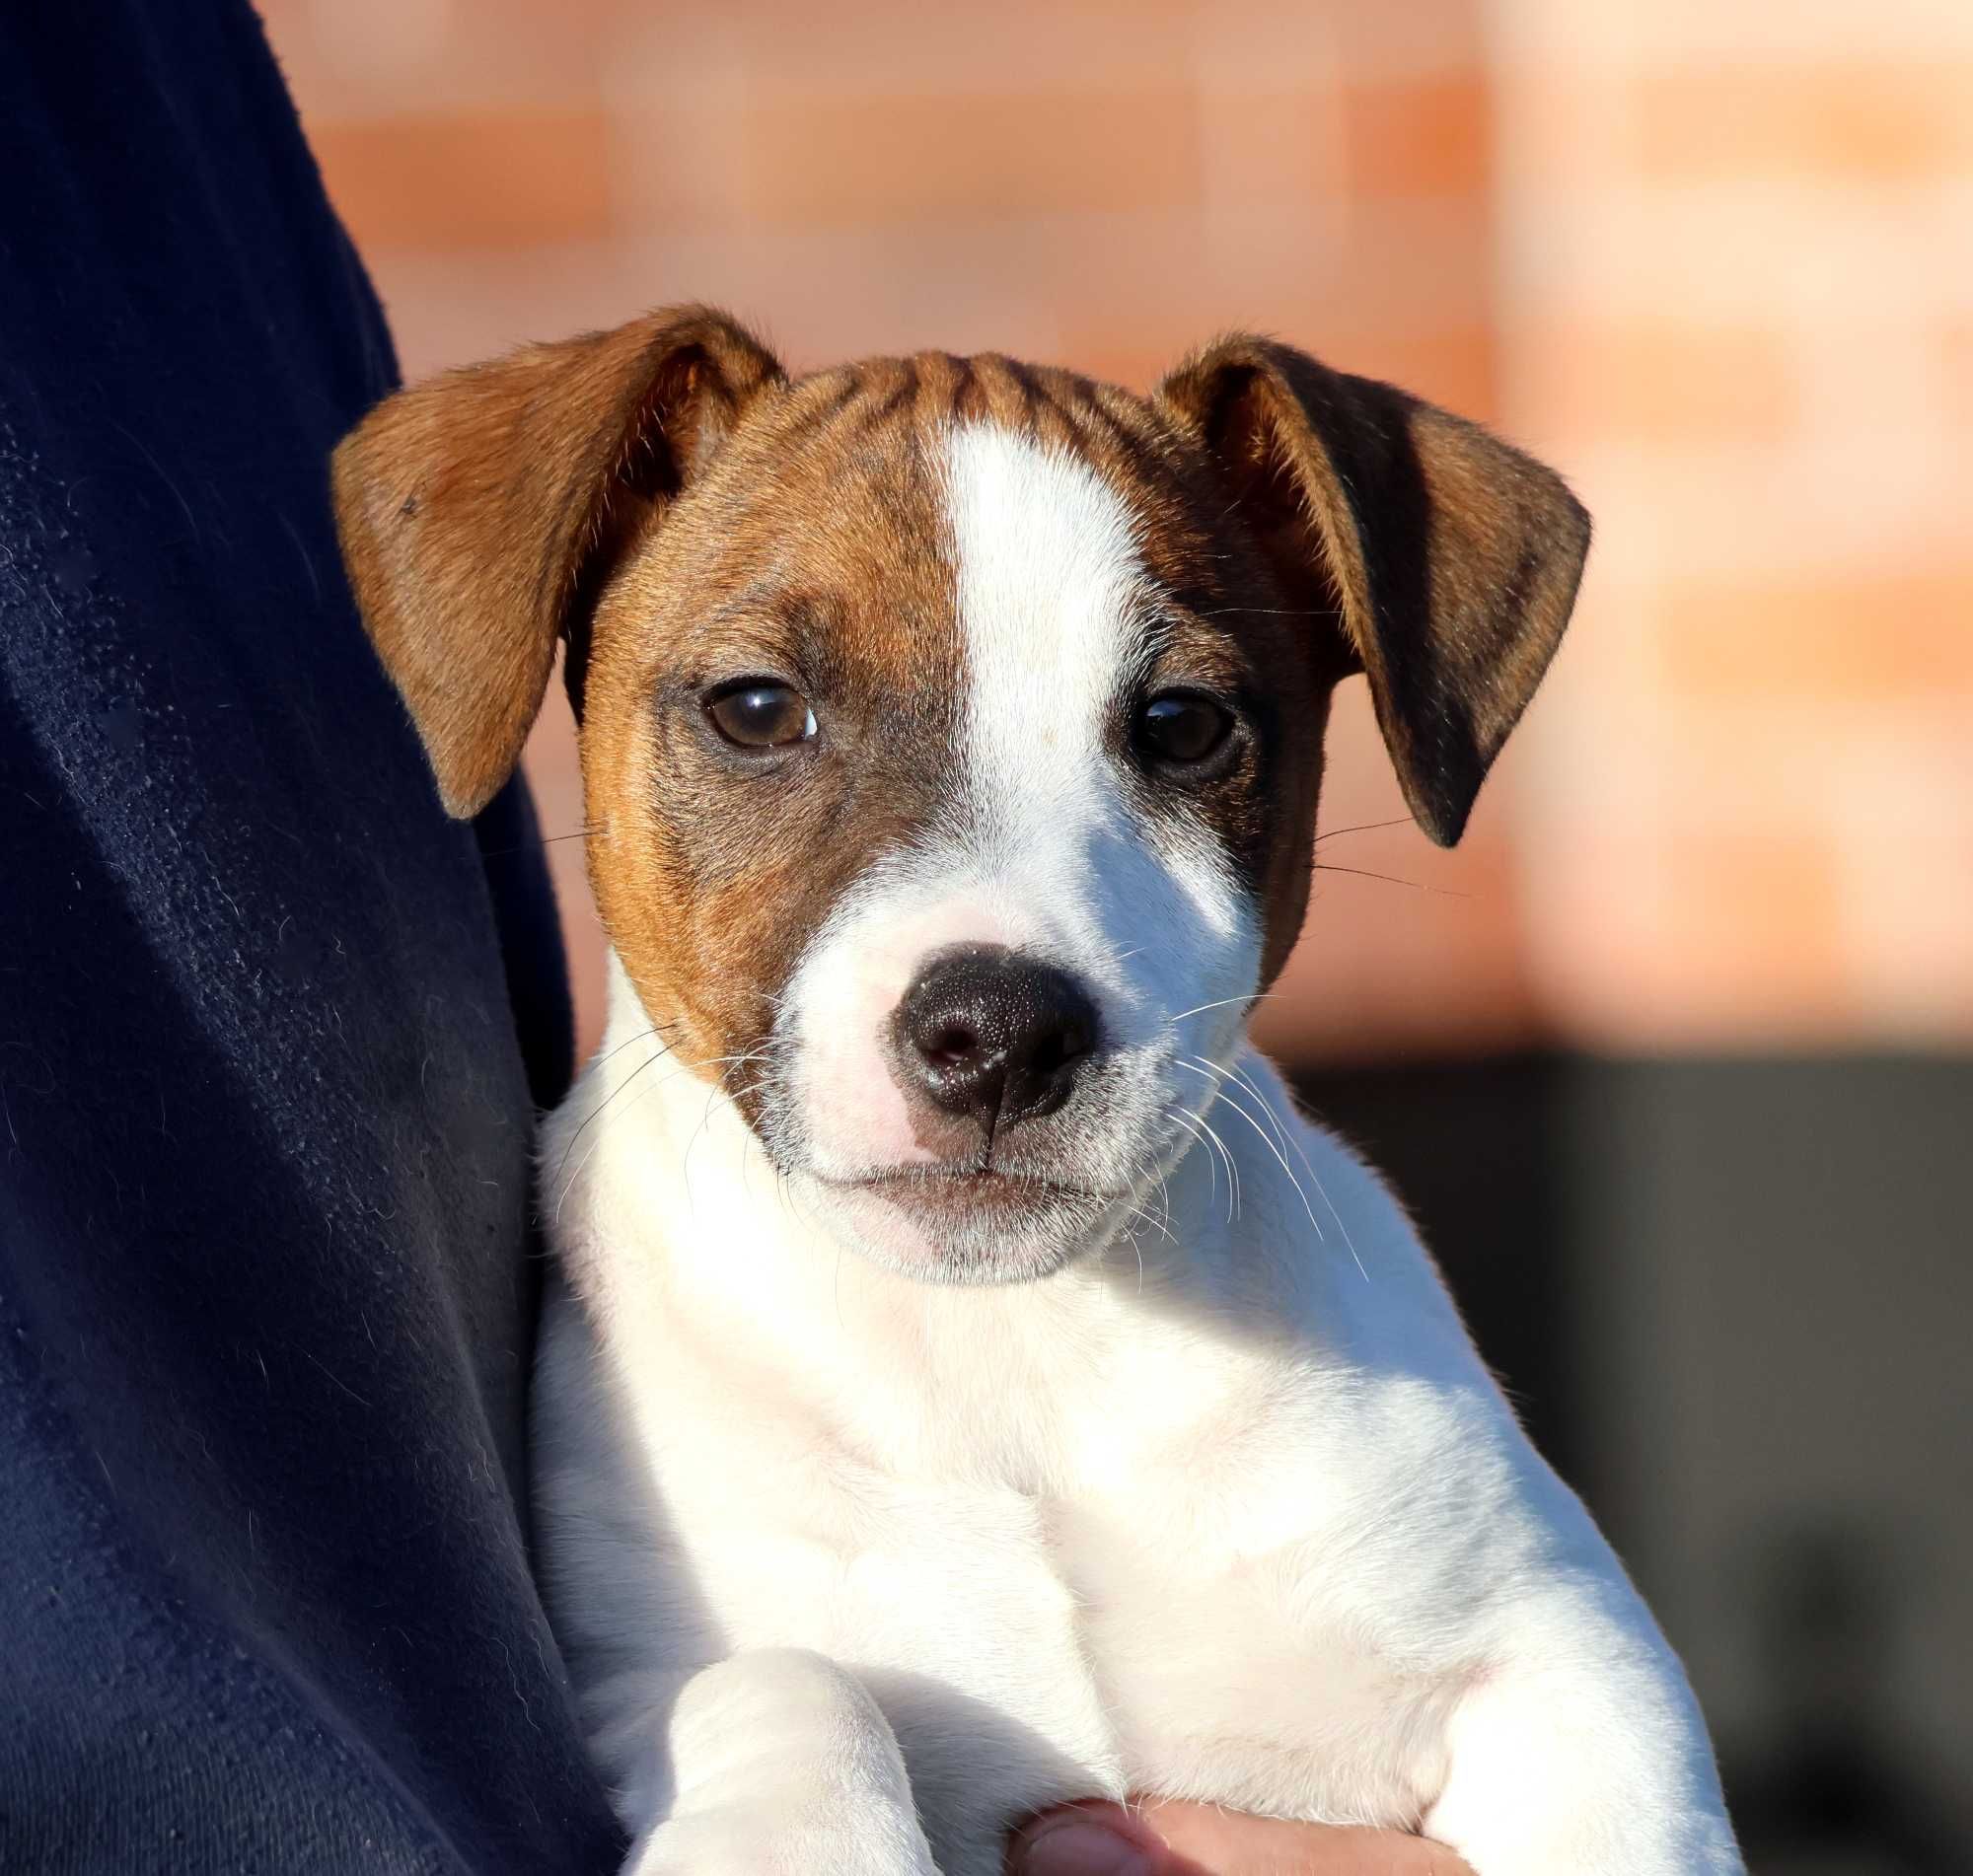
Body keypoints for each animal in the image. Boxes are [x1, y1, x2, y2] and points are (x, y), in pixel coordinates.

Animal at [339, 312, 1744, 1876]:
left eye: (1182, 724)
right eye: (757, 709)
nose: (999, 1033)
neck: (1000, 1362)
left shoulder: (1567, 1657)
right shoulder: (631, 1675)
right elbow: (788, 1679)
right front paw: (796, 1840)